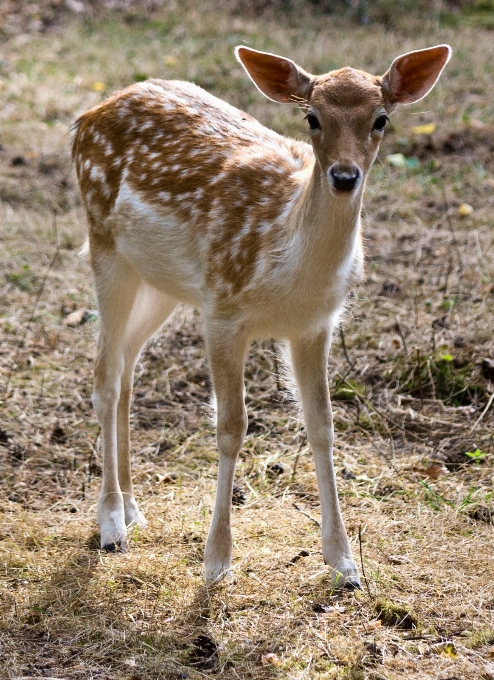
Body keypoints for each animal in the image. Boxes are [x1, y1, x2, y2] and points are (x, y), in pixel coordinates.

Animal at [72, 42, 452, 588]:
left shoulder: (316, 324)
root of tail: (87, 117)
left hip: (162, 283)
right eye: (312, 117)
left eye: (381, 119)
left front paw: (345, 563)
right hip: (104, 244)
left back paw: (133, 509)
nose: (344, 177)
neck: (287, 269)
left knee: (125, 369)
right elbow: (232, 427)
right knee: (104, 373)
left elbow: (322, 424)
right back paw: (111, 525)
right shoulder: (222, 310)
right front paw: (216, 562)